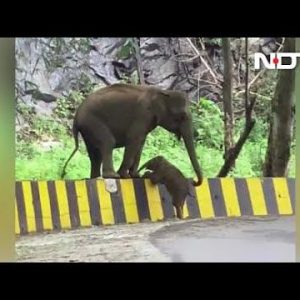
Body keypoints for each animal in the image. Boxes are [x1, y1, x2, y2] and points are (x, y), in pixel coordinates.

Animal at [61, 82, 203, 185]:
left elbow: (141, 142)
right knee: (108, 142)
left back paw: (95, 177)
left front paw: (135, 176)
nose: (194, 182)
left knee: (95, 154)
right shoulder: (142, 114)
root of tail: (76, 117)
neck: (162, 92)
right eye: (182, 116)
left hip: (88, 129)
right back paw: (113, 176)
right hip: (93, 122)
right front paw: (125, 175)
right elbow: (134, 139)